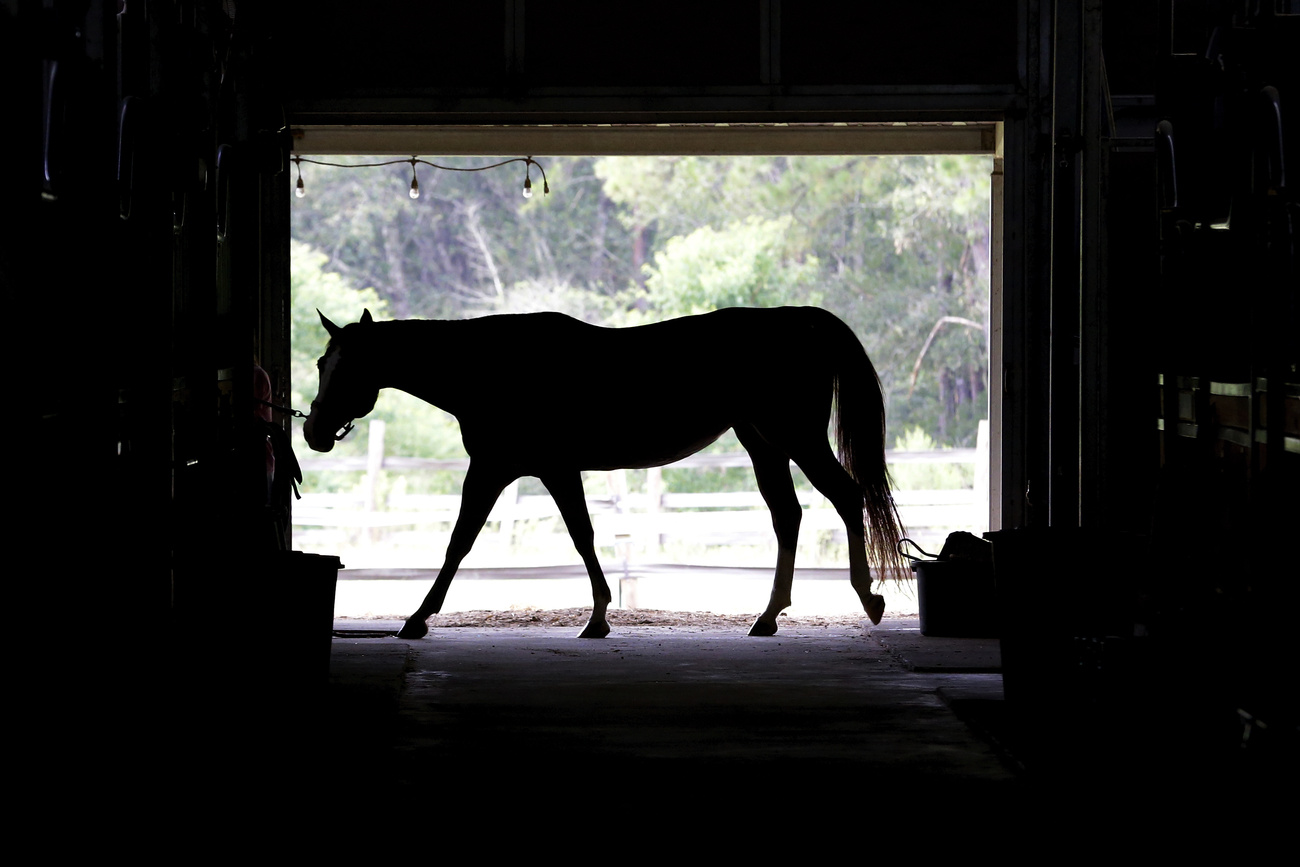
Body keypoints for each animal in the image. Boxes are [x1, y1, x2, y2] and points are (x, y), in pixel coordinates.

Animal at [303, 307, 905, 639]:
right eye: (321, 363)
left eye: (350, 367)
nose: (313, 432)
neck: (493, 367)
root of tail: (800, 319)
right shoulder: (543, 470)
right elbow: (582, 536)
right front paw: (598, 618)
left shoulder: (505, 469)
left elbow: (463, 543)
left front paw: (418, 619)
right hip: (764, 444)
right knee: (788, 517)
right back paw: (768, 616)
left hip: (796, 439)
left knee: (846, 498)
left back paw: (868, 599)